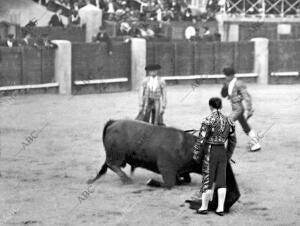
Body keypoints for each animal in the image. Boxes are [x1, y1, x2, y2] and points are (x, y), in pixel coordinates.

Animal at [88, 119, 240, 211]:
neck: (186, 147)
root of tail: (113, 122)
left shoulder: (179, 171)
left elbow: (185, 179)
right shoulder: (166, 170)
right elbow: (169, 184)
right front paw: (150, 182)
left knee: (108, 165)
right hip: (117, 156)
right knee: (112, 164)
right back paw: (126, 179)